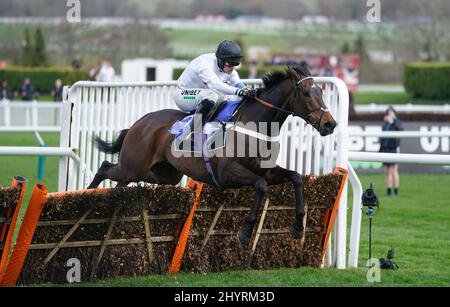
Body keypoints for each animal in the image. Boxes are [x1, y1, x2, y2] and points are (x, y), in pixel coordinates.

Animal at [88, 65, 336, 245]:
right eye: (306, 93)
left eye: (321, 91)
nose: (329, 124)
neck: (254, 125)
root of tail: (139, 123)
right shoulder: (228, 173)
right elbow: (260, 185)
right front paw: (245, 231)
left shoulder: (266, 169)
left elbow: (295, 177)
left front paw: (298, 227)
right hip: (134, 165)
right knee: (105, 167)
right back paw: (87, 196)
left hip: (164, 173)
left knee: (120, 182)